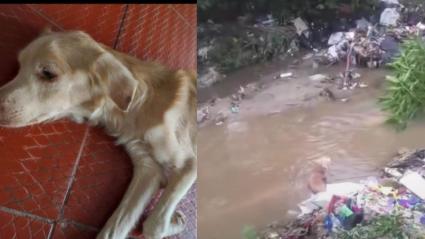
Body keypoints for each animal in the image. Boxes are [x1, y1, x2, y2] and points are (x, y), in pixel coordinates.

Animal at [0, 28, 196, 239]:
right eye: (19, 67)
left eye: (48, 73)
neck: (140, 107)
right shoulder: (148, 169)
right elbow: (116, 229)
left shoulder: (189, 165)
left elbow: (154, 225)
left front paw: (175, 222)